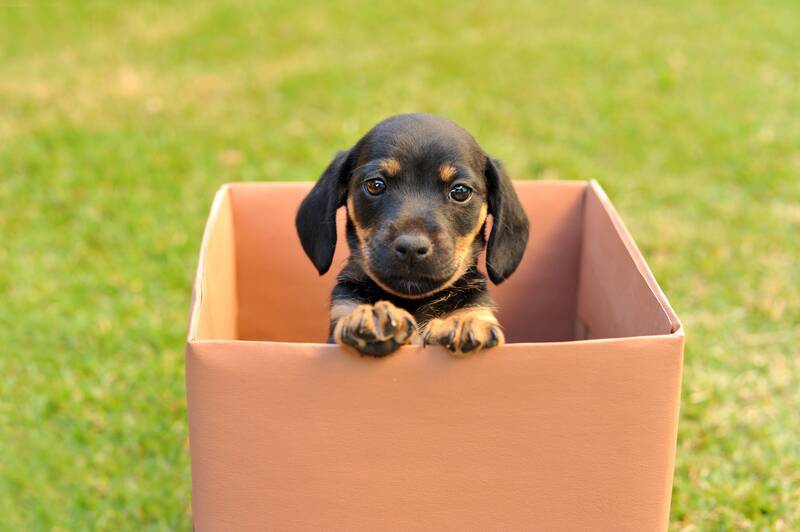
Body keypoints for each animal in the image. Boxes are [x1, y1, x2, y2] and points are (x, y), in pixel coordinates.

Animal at [296, 115, 528, 358]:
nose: (411, 248)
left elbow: (471, 312)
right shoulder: (343, 310)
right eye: (375, 185)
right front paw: (373, 315)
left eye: (460, 191)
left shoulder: (478, 305)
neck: (414, 301)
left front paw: (463, 322)